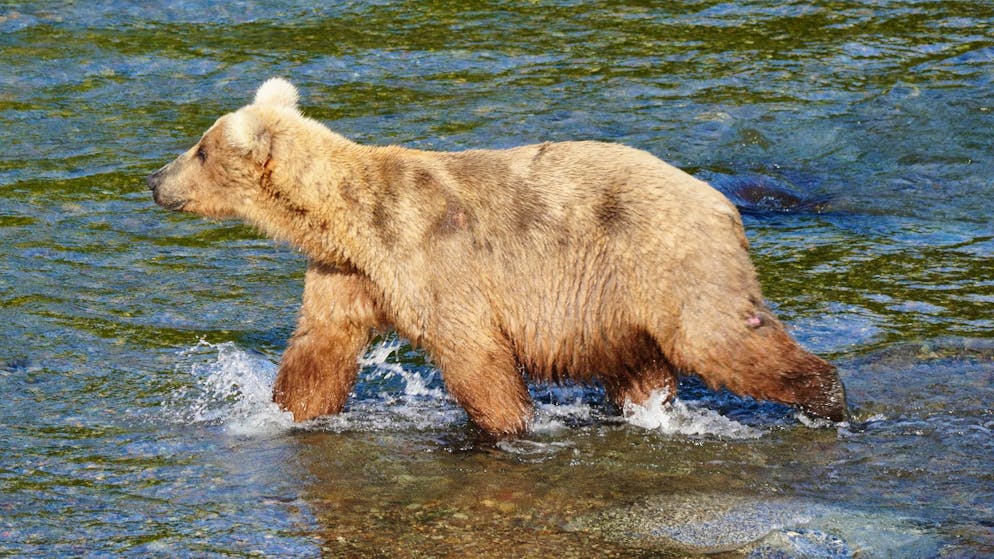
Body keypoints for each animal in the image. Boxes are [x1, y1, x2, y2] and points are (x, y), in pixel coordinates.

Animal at [147, 77, 848, 436]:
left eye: (200, 148)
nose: (154, 179)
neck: (347, 220)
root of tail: (724, 202)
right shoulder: (348, 273)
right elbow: (321, 347)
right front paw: (278, 410)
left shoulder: (432, 258)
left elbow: (473, 354)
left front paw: (509, 427)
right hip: (620, 304)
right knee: (641, 368)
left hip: (668, 262)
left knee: (722, 336)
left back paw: (828, 399)